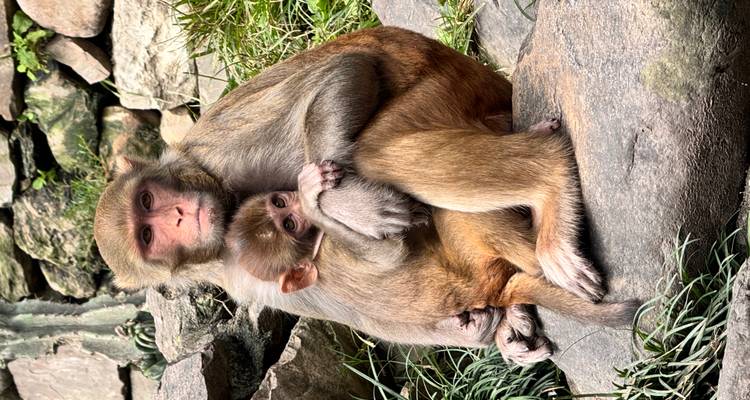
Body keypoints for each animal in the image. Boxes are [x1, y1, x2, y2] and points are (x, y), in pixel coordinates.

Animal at [94, 27, 607, 361]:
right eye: (148, 234)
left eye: (147, 202)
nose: (181, 216)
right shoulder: (237, 273)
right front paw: (488, 330)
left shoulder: (223, 158)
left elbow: (346, 71)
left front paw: (346, 204)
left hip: (446, 87)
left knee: (375, 150)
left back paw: (548, 176)